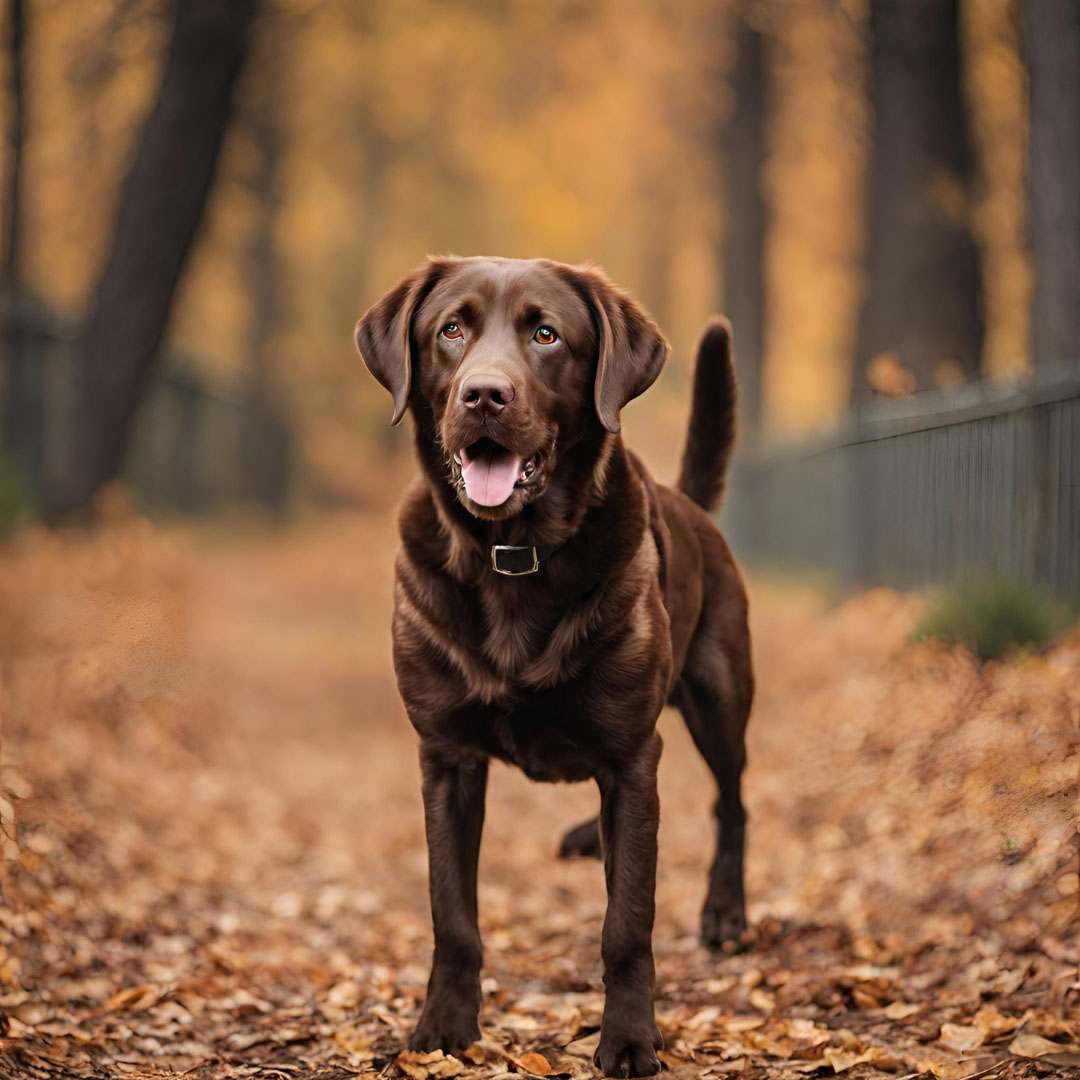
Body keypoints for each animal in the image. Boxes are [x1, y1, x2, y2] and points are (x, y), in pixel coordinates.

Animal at [354, 257, 751, 1075]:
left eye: (546, 335)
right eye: (451, 329)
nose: (484, 394)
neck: (513, 554)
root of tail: (694, 509)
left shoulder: (629, 755)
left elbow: (627, 922)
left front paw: (629, 1038)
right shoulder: (447, 759)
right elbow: (452, 913)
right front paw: (443, 1028)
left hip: (721, 699)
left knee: (731, 803)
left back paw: (725, 913)